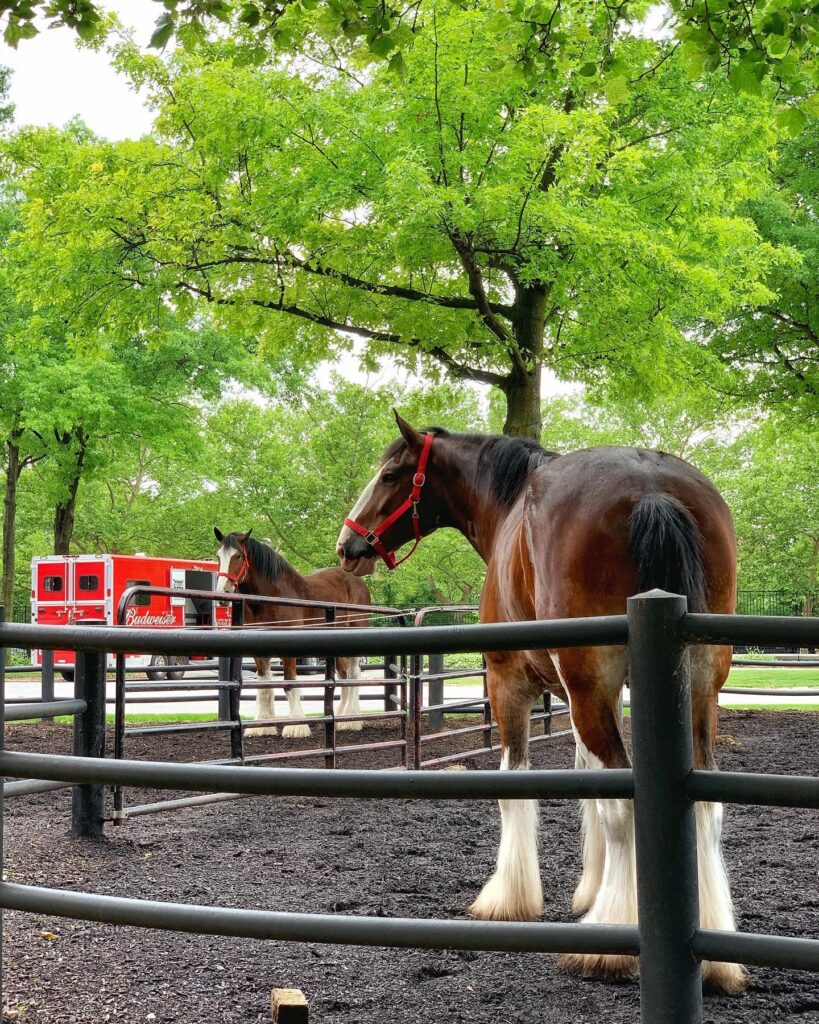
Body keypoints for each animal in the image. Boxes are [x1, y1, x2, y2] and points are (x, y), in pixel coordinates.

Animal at [214, 529, 371, 739]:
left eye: (237, 555)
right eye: (218, 556)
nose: (223, 593)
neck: (271, 597)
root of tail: (357, 581)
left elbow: (289, 684)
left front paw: (296, 725)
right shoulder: (258, 652)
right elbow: (263, 685)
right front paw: (262, 725)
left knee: (354, 673)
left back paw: (351, 719)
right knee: (344, 673)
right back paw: (340, 716)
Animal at [336, 413, 744, 995]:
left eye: (391, 474)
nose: (347, 545)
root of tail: (652, 489)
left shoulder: (509, 681)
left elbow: (516, 784)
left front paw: (508, 897)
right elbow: (587, 782)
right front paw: (589, 888)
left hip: (588, 685)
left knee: (625, 806)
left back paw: (608, 945)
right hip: (696, 682)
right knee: (704, 803)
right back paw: (712, 955)